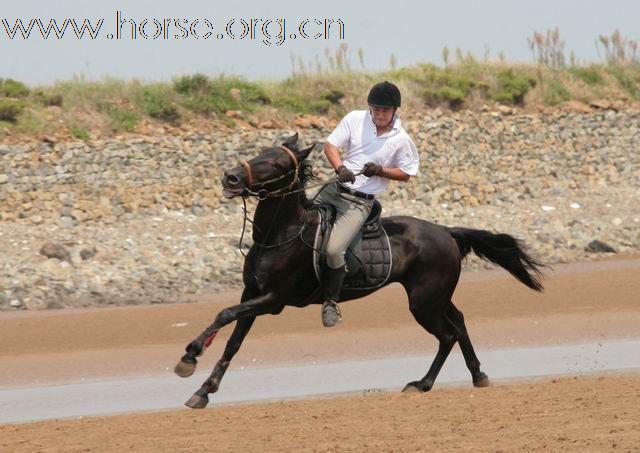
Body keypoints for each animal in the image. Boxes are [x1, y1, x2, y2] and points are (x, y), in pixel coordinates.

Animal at [172, 132, 544, 408]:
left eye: (278, 162)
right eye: (260, 152)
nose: (231, 177)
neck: (278, 237)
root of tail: (446, 232)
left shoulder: (273, 300)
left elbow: (223, 314)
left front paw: (190, 355)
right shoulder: (252, 294)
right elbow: (233, 342)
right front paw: (203, 390)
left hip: (423, 303)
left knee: (447, 335)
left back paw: (422, 383)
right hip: (436, 297)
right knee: (461, 322)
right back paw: (478, 375)